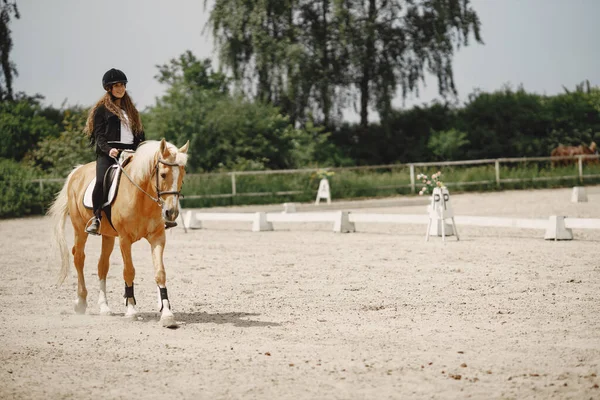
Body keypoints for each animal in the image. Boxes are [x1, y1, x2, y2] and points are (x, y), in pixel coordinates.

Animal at [49, 139, 190, 326]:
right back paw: (81, 302)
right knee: (79, 257)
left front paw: (166, 313)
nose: (171, 213)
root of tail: (77, 171)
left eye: (182, 174)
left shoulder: (157, 238)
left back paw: (104, 307)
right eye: (163, 175)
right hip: (80, 229)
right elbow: (128, 271)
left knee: (102, 266)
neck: (141, 197)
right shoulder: (124, 239)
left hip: (108, 236)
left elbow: (160, 272)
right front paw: (131, 310)